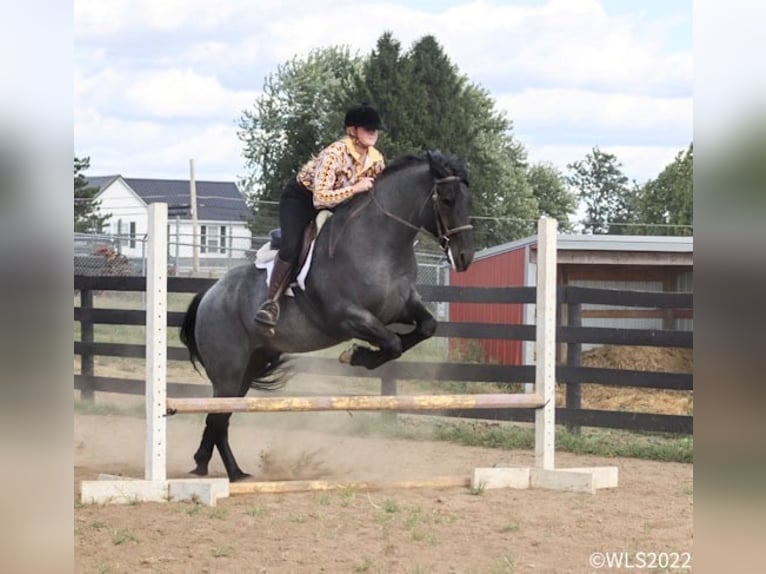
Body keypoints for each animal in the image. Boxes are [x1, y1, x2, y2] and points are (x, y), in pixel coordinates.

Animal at [179, 151, 474, 484]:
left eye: (468, 200)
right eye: (447, 199)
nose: (465, 258)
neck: (379, 243)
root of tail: (209, 295)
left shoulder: (401, 306)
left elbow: (426, 327)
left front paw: (360, 355)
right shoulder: (346, 317)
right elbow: (393, 343)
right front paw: (356, 355)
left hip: (248, 367)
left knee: (219, 418)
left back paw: (208, 465)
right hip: (228, 371)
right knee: (219, 418)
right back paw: (234, 475)